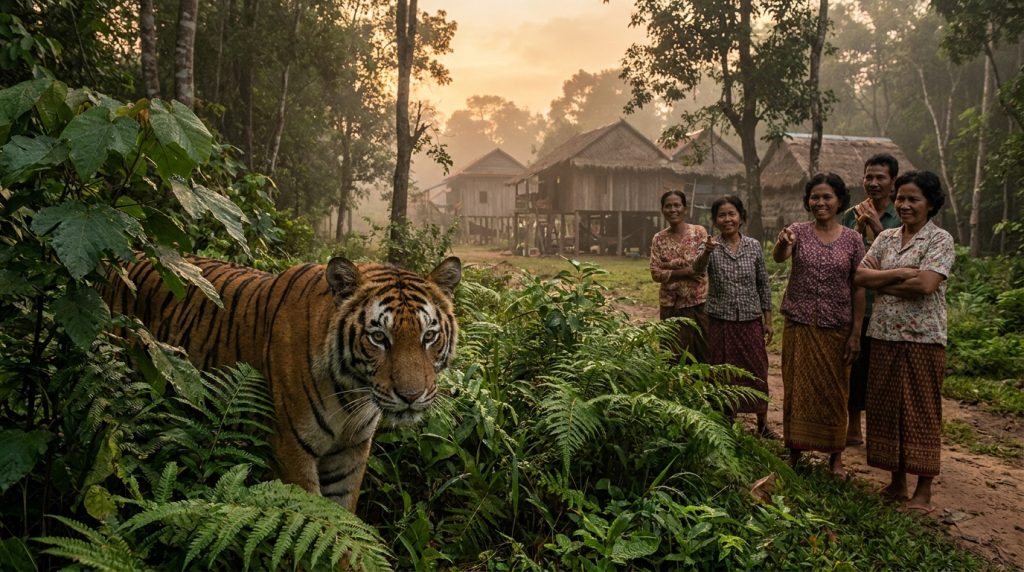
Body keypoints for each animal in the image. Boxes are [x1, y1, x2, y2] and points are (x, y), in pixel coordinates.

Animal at [104, 253, 461, 511]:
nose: (411, 396)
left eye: (429, 336)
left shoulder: (350, 454)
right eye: (378, 338)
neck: (351, 395)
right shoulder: (290, 449)